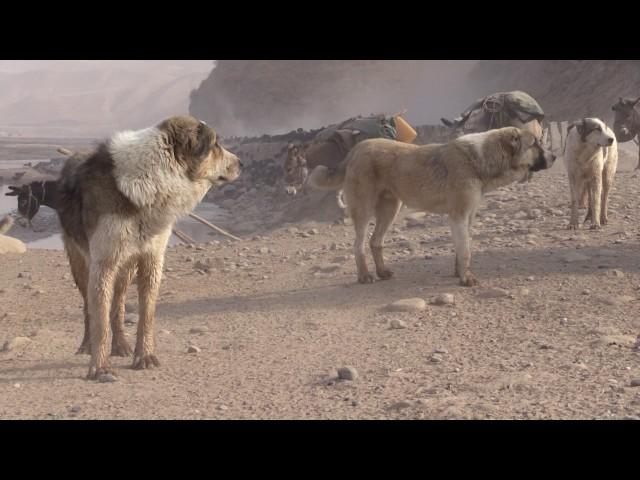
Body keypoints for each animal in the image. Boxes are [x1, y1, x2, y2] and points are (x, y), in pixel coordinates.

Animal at [57, 115, 242, 378]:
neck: (151, 179)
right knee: (88, 308)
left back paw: (121, 345)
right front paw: (100, 367)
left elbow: (146, 314)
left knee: (118, 306)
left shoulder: (151, 259)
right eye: (215, 144)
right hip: (81, 264)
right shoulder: (103, 263)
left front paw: (144, 356)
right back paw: (86, 346)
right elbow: (99, 319)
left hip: (125, 268)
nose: (241, 163)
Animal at [308, 125, 556, 286]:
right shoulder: (458, 216)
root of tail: (356, 149)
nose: (554, 157)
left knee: (375, 242)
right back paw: (365, 276)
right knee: (358, 245)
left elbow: (461, 249)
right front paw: (466, 278)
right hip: (364, 211)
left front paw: (459, 273)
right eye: (535, 143)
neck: (479, 160)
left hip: (390, 210)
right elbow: (465, 250)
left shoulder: (467, 217)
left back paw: (382, 272)